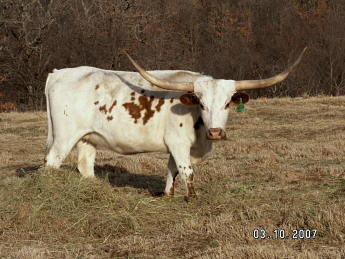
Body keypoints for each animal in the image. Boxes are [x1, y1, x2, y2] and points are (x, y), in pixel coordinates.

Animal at [44, 47, 306, 198]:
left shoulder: (174, 146)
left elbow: (172, 170)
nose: (215, 132)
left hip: (87, 138)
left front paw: (168, 195)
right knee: (51, 163)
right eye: (201, 103)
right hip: (64, 137)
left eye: (227, 103)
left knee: (85, 165)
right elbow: (187, 170)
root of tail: (59, 73)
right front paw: (193, 198)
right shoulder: (178, 143)